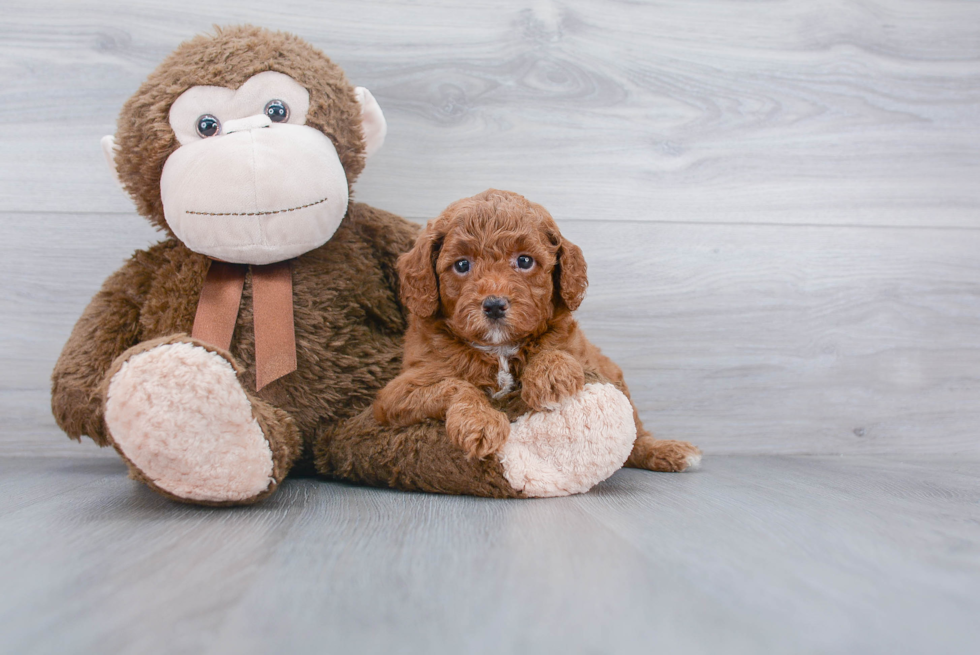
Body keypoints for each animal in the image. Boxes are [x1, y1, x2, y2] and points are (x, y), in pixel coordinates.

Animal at [372, 190, 700, 472]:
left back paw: (666, 451)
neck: (499, 349)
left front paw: (549, 377)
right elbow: (454, 385)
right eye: (462, 265)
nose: (494, 305)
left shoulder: (585, 356)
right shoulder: (397, 394)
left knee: (636, 437)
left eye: (525, 261)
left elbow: (554, 347)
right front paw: (480, 423)